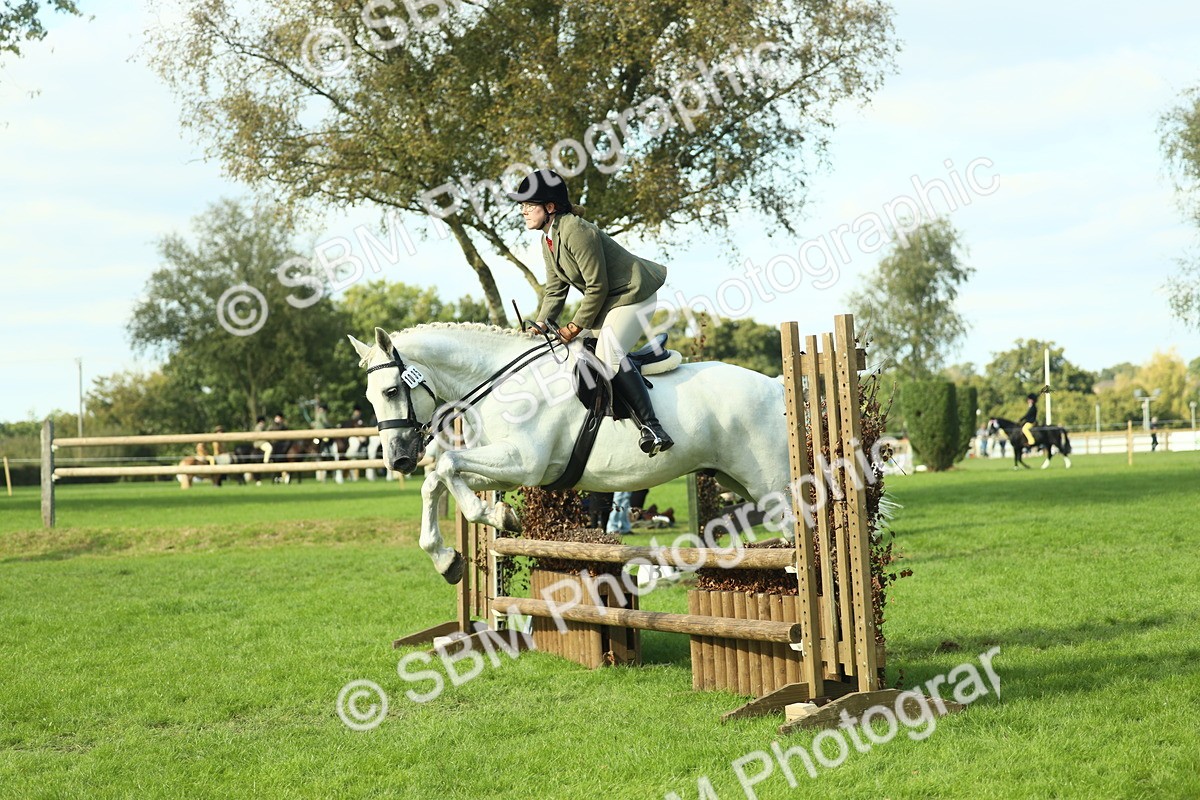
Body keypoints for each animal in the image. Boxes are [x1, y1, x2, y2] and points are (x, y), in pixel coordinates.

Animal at [348, 323, 796, 584]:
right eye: (370, 397)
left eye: (392, 391)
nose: (398, 459)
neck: (503, 380)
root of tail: (776, 385)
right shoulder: (510, 467)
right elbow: (437, 479)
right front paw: (447, 559)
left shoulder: (522, 461)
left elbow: (446, 464)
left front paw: (497, 516)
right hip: (736, 480)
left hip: (773, 484)